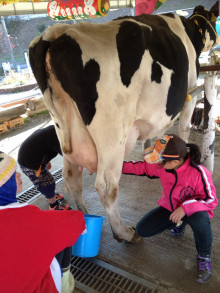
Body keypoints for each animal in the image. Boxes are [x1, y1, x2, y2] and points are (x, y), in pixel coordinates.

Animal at [28, 1, 218, 241]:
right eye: (212, 20)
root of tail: (55, 33)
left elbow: (158, 135)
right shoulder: (190, 94)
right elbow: (183, 129)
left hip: (64, 128)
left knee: (71, 177)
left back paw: (84, 216)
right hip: (112, 132)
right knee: (107, 187)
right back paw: (124, 233)